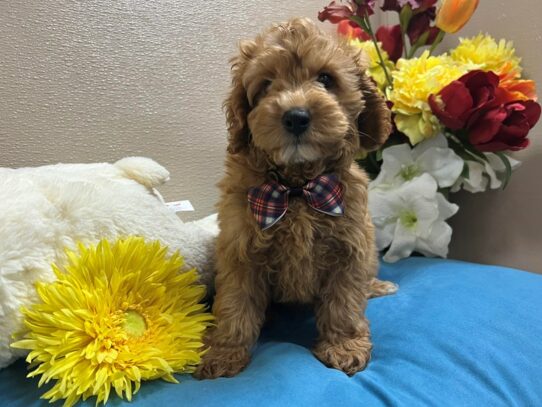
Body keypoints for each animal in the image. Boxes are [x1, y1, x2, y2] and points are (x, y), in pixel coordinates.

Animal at [196, 16, 396, 380]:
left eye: (326, 79)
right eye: (266, 84)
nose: (296, 116)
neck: (297, 189)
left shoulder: (349, 249)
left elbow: (345, 304)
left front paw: (344, 346)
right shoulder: (240, 250)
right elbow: (234, 304)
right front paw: (223, 351)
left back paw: (377, 286)